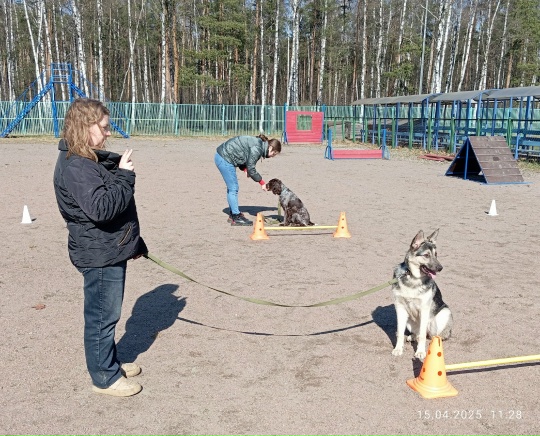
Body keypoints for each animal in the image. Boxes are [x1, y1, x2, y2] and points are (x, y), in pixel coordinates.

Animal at [391, 229, 453, 360]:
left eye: (436, 254)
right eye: (426, 255)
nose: (441, 268)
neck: (413, 278)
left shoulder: (424, 309)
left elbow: (423, 336)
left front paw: (420, 352)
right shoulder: (400, 309)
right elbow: (400, 333)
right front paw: (398, 349)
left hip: (443, 314)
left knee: (431, 335)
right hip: (409, 321)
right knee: (418, 333)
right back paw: (412, 337)